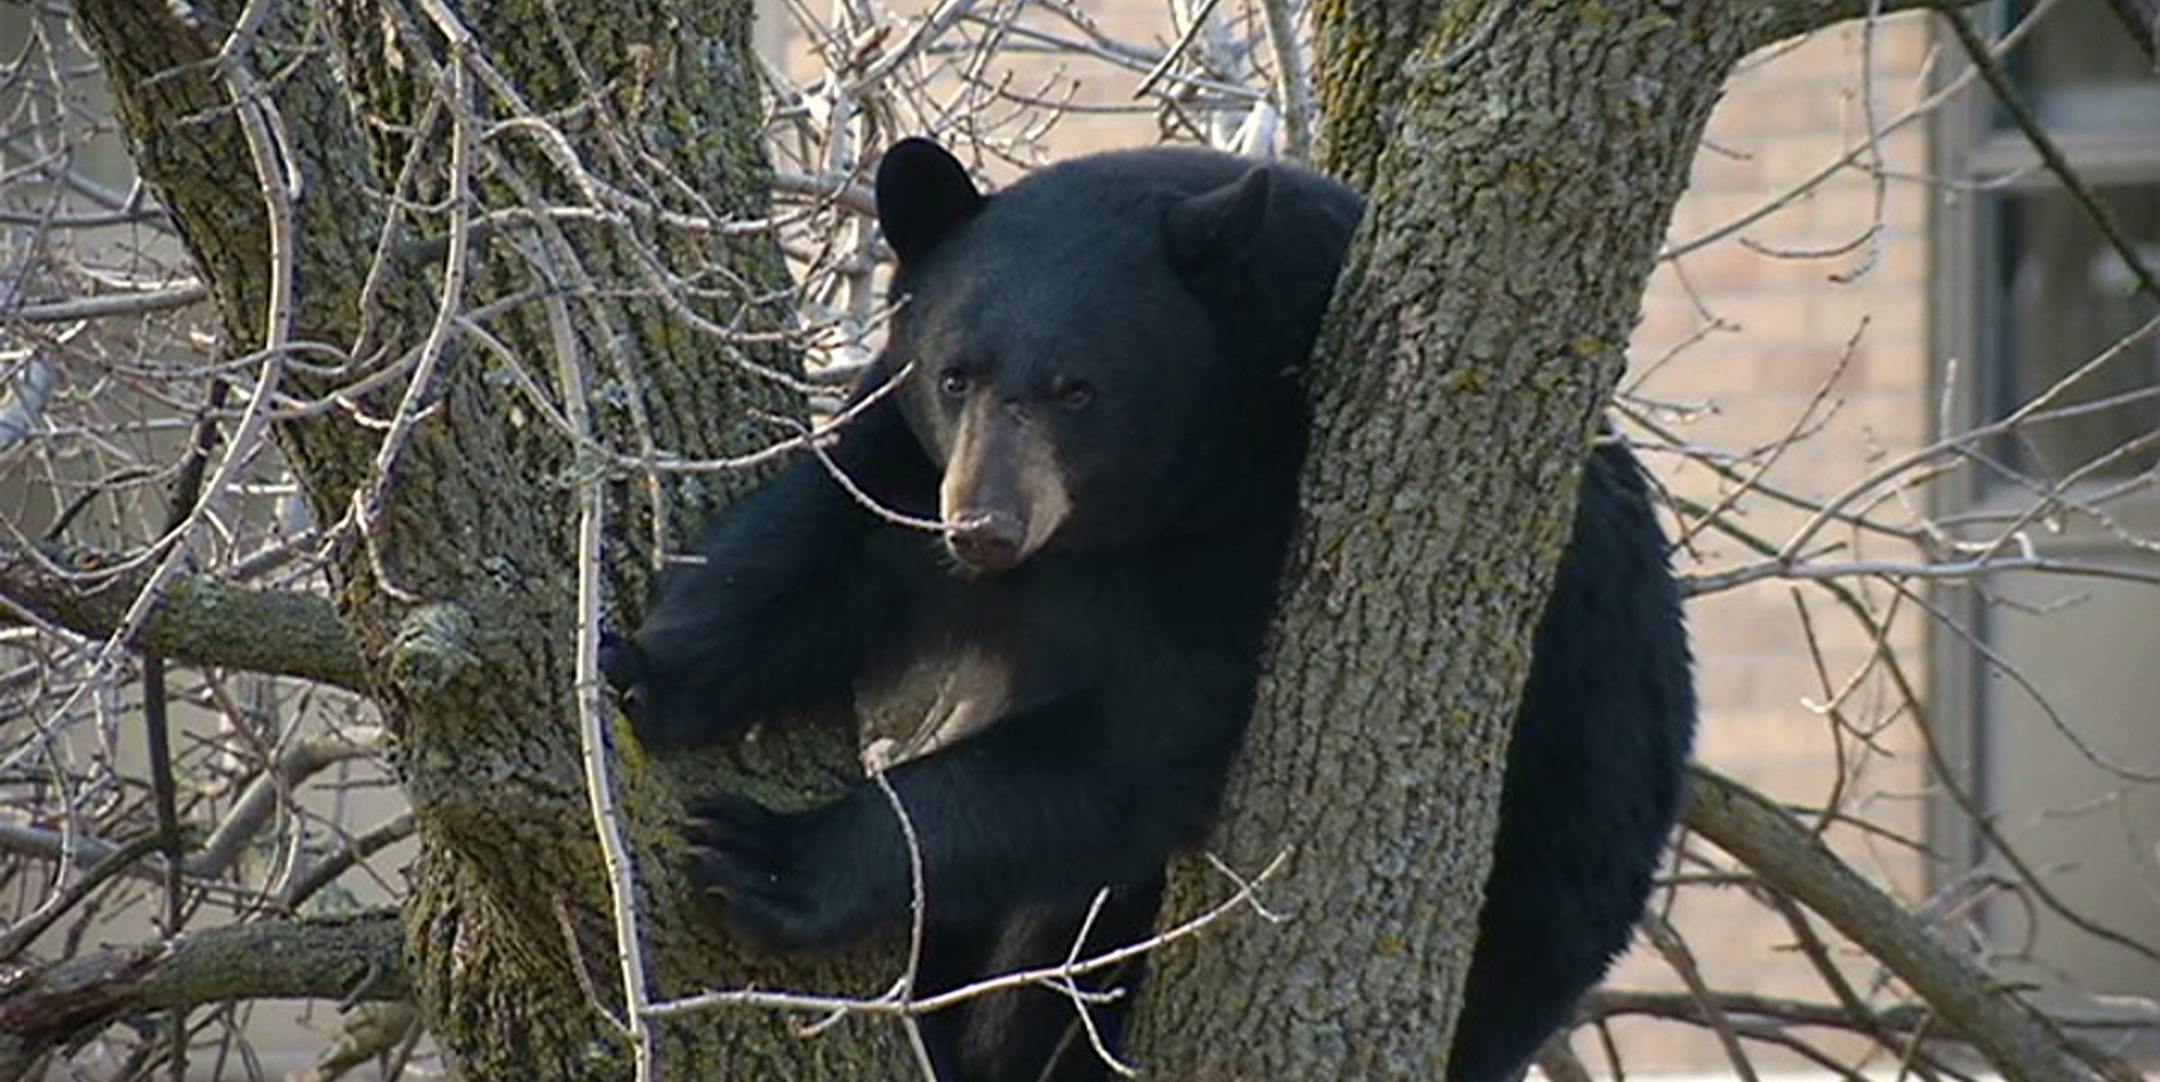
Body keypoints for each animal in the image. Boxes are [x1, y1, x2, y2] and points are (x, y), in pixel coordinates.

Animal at [608, 137, 1695, 1082]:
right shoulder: (917, 462)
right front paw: (641, 667)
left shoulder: (1260, 514)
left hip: (1553, 860)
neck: (1120, 519)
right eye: (957, 375)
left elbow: (1140, 740)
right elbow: (819, 543)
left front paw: (771, 857)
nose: (985, 528)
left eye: (1078, 390)